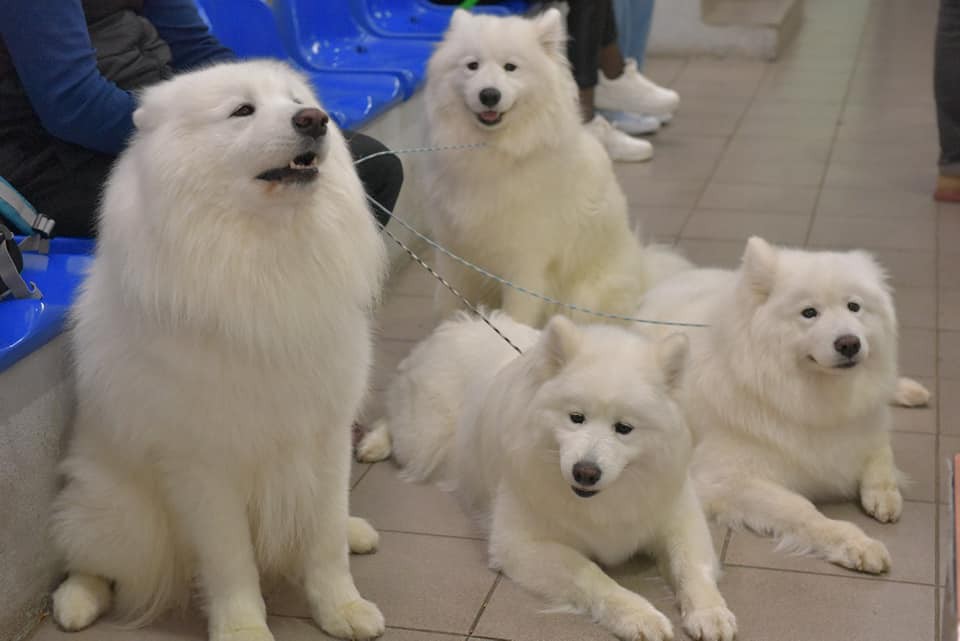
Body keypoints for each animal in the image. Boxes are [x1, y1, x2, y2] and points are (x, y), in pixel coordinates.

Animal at [48, 61, 386, 640]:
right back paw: (75, 601)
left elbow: (323, 541)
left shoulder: (326, 432)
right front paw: (244, 628)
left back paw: (355, 528)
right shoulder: (203, 462)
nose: (314, 118)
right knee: (91, 555)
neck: (268, 260)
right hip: (120, 511)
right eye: (242, 111)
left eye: (294, 100)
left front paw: (342, 608)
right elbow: (232, 562)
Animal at [366, 312, 736, 640]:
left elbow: (693, 568)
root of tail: (459, 325)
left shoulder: (679, 518)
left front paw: (711, 613)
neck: (606, 499)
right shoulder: (520, 545)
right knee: (391, 418)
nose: (585, 472)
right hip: (421, 441)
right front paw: (638, 615)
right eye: (576, 417)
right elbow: (593, 576)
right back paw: (372, 442)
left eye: (624, 428)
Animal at [424, 9, 688, 328]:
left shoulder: (525, 263)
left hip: (584, 297)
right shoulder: (454, 256)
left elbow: (517, 315)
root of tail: (643, 270)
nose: (489, 95)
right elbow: (449, 309)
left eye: (511, 67)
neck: (494, 152)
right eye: (471, 65)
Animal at [636, 236, 928, 576]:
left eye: (854, 307)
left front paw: (884, 494)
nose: (849, 343)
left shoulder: (866, 423)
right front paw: (856, 544)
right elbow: (802, 509)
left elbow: (881, 454)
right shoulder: (723, 479)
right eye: (809, 313)